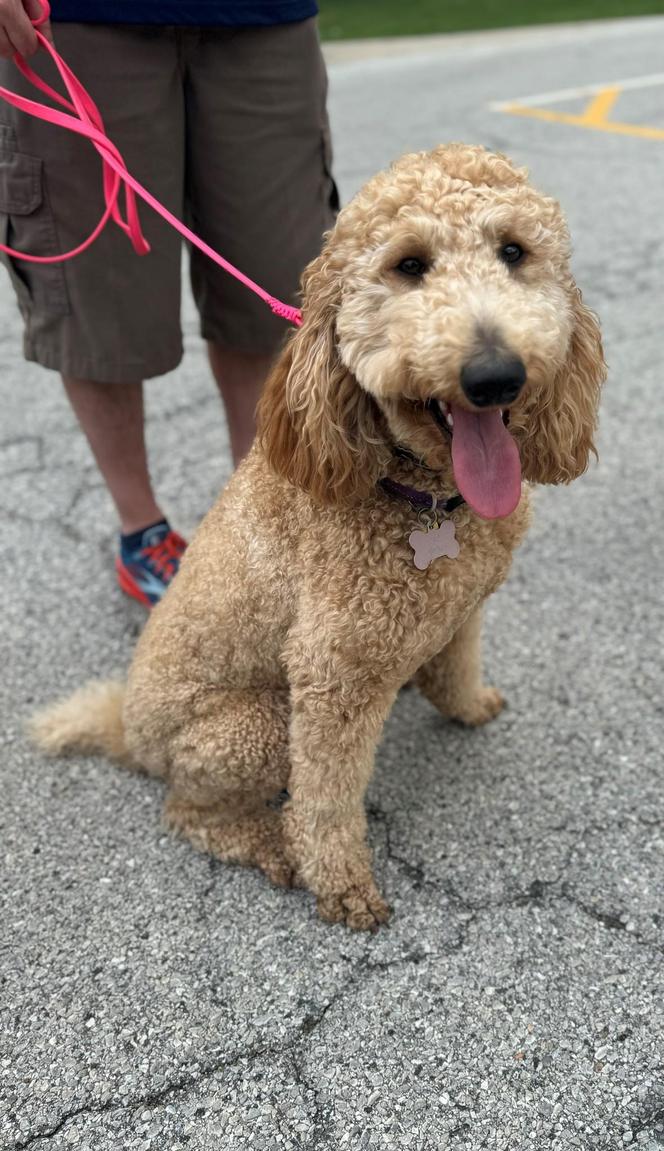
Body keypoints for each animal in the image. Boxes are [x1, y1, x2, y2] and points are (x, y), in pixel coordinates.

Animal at [32, 143, 607, 930]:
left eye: (514, 252)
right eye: (409, 264)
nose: (494, 375)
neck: (424, 499)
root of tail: (128, 729)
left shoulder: (462, 609)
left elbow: (456, 664)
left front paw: (468, 705)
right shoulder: (333, 673)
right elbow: (328, 798)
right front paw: (340, 883)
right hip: (256, 726)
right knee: (188, 812)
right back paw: (269, 846)